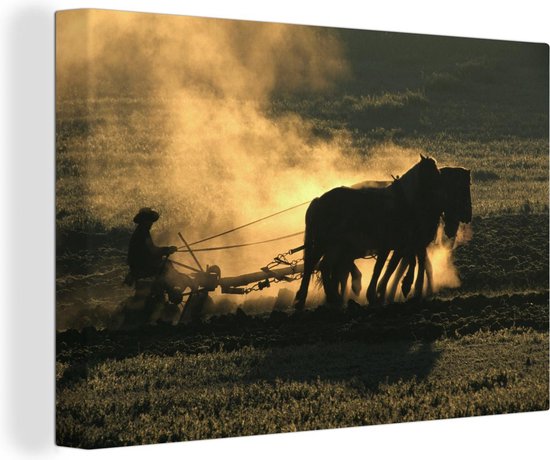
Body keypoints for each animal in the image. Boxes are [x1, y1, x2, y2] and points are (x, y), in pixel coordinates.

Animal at [296, 155, 442, 310]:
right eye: (432, 172)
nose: (442, 195)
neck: (401, 201)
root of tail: (319, 200)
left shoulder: (400, 243)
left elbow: (396, 264)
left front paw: (386, 292)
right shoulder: (388, 244)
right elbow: (381, 267)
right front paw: (377, 294)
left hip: (328, 245)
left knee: (317, 265)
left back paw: (307, 299)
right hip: (324, 243)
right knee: (317, 265)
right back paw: (328, 296)